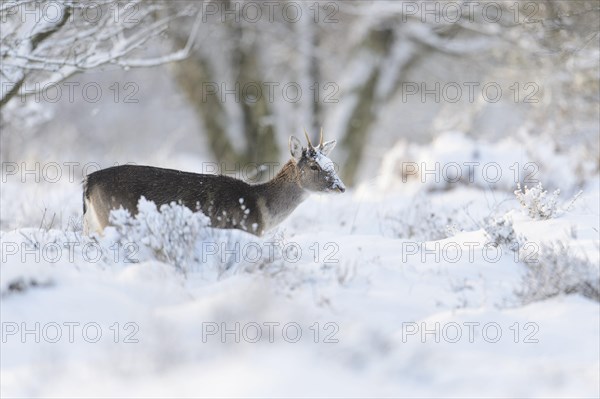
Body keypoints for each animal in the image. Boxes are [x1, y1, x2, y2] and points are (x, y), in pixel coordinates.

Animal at [84, 131, 346, 236]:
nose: (340, 187)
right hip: (113, 216)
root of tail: (89, 181)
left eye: (331, 163)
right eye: (314, 166)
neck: (261, 210)